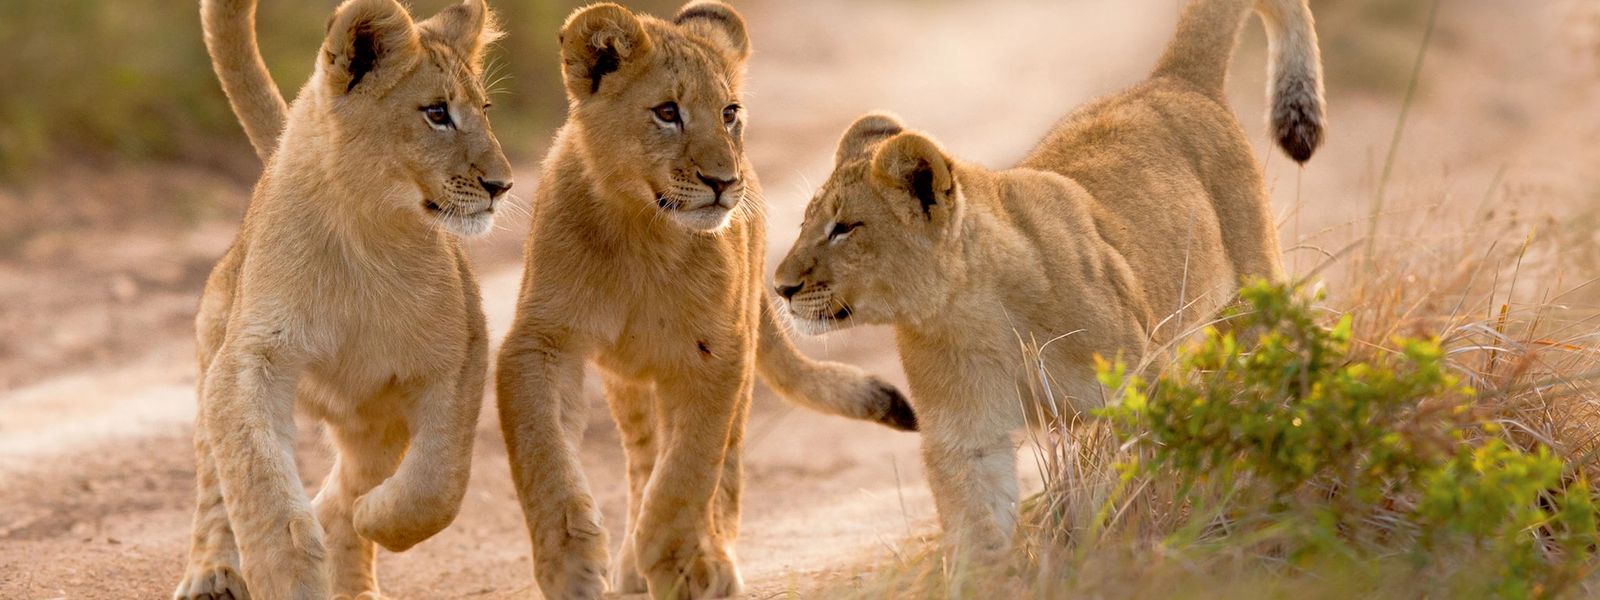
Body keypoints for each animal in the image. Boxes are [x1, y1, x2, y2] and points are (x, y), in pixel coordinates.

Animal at [173, 1, 512, 598]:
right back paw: (212, 573)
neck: (366, 233)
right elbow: (258, 486)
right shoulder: (250, 359)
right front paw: (288, 576)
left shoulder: (461, 355)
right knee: (215, 485)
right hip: (216, 345)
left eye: (485, 110)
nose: (503, 185)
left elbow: (437, 484)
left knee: (342, 495)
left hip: (374, 415)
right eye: (436, 113)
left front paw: (376, 516)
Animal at [493, 2, 916, 598]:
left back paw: (707, 556)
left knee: (723, 461)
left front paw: (680, 561)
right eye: (668, 112)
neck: (641, 232)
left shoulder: (717, 351)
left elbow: (688, 470)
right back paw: (634, 566)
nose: (723, 181)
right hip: (629, 379)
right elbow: (543, 454)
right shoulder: (541, 340)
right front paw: (571, 566)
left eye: (729, 112)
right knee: (643, 455)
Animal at [772, 0, 1325, 561]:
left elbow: (1132, 488)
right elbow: (978, 530)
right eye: (805, 222)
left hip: (1249, 301)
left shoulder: (1135, 391)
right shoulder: (966, 438)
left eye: (844, 228)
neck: (975, 312)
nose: (780, 287)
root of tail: (1171, 79)